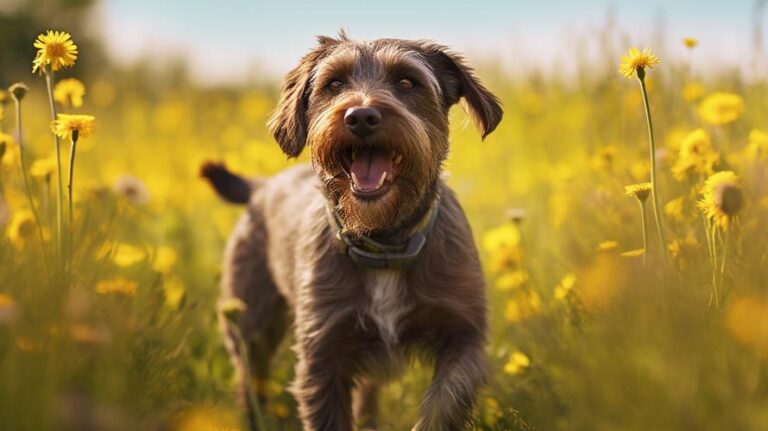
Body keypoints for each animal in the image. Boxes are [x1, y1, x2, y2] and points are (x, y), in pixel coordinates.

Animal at [204, 31, 504, 431]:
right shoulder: (322, 354)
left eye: (407, 81)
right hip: (250, 323)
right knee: (250, 380)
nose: (361, 116)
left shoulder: (464, 336)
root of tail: (261, 187)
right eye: (334, 84)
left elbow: (444, 403)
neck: (384, 244)